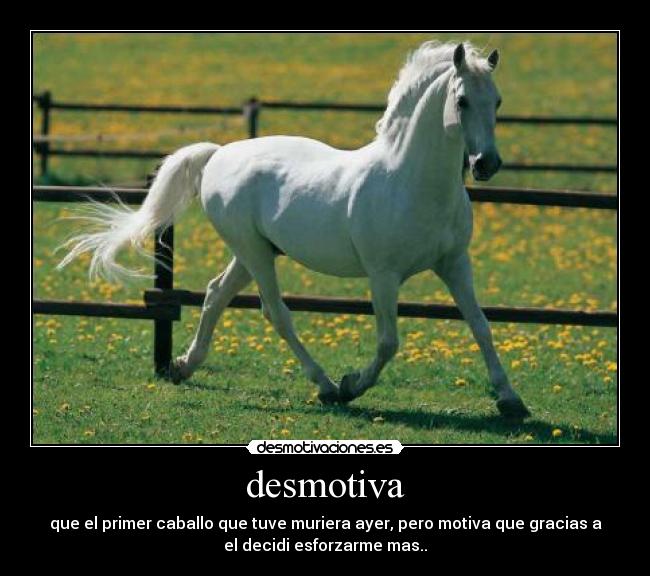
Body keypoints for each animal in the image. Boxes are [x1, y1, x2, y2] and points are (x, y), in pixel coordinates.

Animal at [58, 41, 531, 420]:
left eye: (498, 101)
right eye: (463, 100)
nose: (487, 164)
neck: (409, 180)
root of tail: (219, 154)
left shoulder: (454, 264)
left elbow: (480, 325)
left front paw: (511, 401)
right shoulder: (384, 275)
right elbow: (388, 342)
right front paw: (351, 385)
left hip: (252, 252)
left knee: (215, 294)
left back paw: (182, 367)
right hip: (254, 252)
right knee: (276, 312)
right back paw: (325, 386)